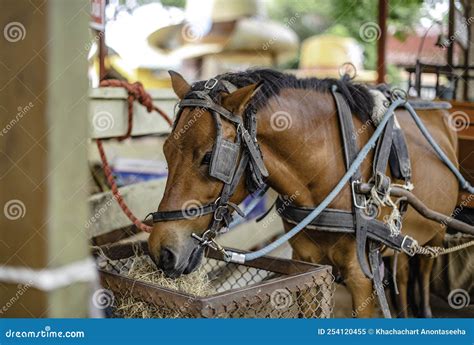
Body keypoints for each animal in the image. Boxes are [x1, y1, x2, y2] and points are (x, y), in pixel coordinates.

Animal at [149, 69, 460, 318]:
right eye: (166, 151)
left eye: (208, 157)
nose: (161, 250)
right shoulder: (307, 264)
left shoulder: (361, 278)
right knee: (404, 271)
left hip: (438, 232)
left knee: (424, 269)